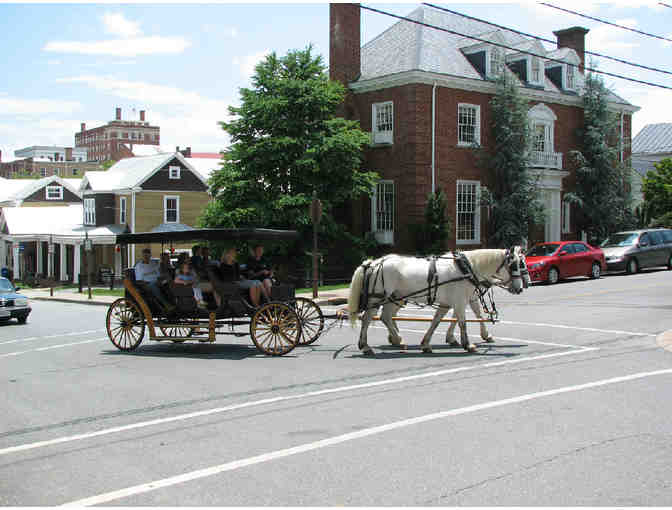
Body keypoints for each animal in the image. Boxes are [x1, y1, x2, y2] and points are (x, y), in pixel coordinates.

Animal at [346, 247, 532, 354]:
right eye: (516, 265)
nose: (522, 287)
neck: (467, 268)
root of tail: (374, 263)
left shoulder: (451, 302)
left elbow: (438, 321)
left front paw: (427, 344)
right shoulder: (460, 300)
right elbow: (463, 321)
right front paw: (468, 344)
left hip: (394, 298)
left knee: (385, 317)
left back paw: (396, 340)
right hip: (379, 298)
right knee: (369, 318)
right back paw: (367, 346)